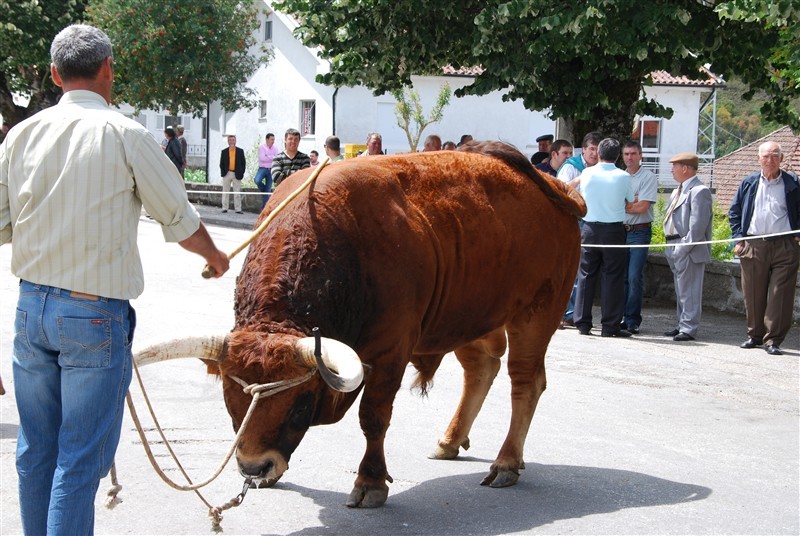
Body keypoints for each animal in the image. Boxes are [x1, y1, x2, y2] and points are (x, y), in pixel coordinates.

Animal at [138, 140, 584, 508]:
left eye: (299, 403)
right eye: (232, 396)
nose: (253, 467)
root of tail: (552, 186)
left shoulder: (390, 351)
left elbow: (373, 417)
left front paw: (370, 482)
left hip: (536, 313)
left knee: (525, 381)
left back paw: (507, 461)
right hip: (466, 315)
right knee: (480, 369)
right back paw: (450, 440)